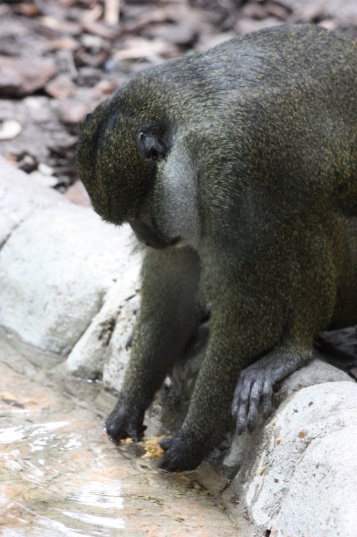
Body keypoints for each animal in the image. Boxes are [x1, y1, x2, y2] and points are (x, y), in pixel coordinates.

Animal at [77, 25, 356, 468]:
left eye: (139, 211)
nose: (142, 236)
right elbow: (172, 294)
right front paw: (130, 405)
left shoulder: (234, 176)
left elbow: (251, 307)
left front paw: (194, 439)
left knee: (309, 219)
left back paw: (291, 350)